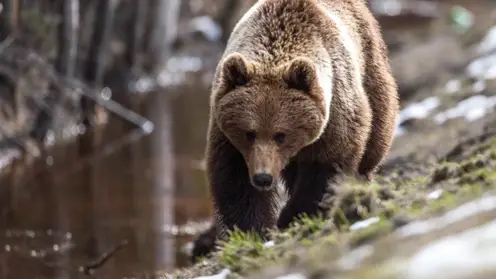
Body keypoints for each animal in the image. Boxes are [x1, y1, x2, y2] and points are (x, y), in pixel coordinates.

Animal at [201, 0, 400, 258]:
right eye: (249, 133)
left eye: (281, 135)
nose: (263, 177)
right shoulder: (225, 132)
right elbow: (234, 179)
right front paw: (253, 229)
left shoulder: (336, 112)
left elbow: (325, 167)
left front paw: (292, 216)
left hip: (371, 69)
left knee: (375, 137)